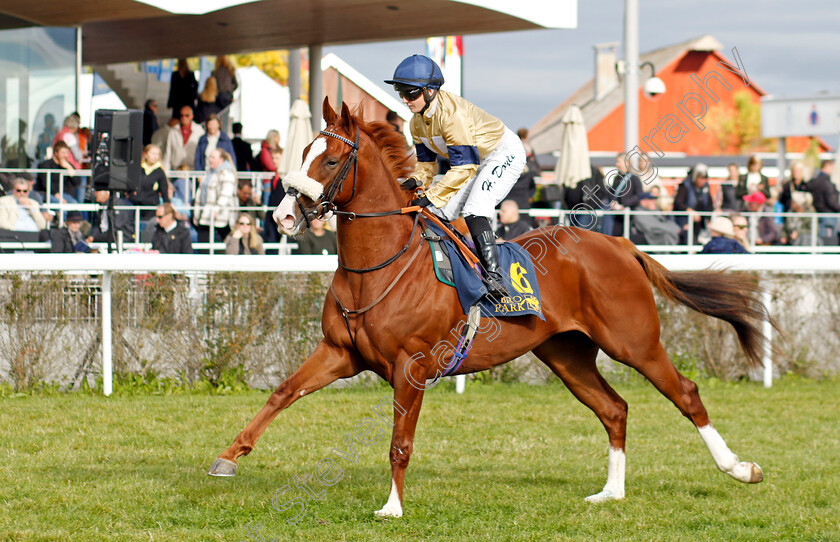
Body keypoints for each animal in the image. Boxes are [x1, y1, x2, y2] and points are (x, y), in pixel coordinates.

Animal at [208, 100, 768, 520]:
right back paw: (611, 492)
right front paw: (228, 457)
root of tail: (620, 245)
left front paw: (392, 507)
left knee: (686, 394)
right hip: (565, 352)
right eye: (303, 150)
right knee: (614, 409)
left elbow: (399, 442)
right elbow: (282, 392)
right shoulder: (339, 353)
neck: (379, 265)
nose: (283, 216)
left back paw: (741, 469)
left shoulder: (411, 368)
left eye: (327, 161)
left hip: (634, 341)